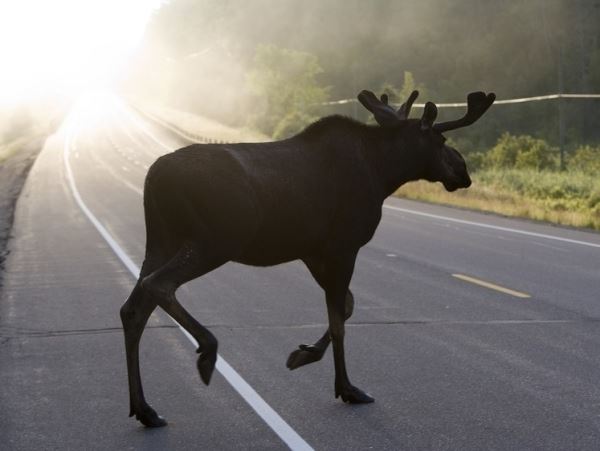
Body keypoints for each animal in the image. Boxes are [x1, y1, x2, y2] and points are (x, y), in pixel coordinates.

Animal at [119, 88, 494, 428]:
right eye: (440, 139)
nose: (463, 171)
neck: (383, 173)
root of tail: (153, 177)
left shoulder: (313, 250)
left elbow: (347, 306)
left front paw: (304, 354)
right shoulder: (343, 245)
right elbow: (339, 320)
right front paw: (346, 388)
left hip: (162, 241)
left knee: (133, 308)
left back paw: (145, 409)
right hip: (214, 241)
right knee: (158, 285)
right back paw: (206, 352)